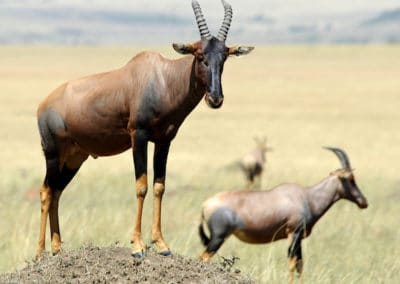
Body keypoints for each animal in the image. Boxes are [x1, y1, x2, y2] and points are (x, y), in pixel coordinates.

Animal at [35, 0, 253, 258]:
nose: (215, 99)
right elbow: (141, 186)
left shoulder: (164, 140)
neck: (162, 78)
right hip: (52, 153)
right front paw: (138, 246)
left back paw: (57, 248)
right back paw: (39, 253)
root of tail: (44, 104)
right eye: (200, 55)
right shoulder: (138, 136)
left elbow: (159, 186)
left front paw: (162, 244)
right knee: (46, 192)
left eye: (225, 56)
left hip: (74, 158)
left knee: (57, 192)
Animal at [198, 148, 368, 282]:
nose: (363, 202)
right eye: (350, 179)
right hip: (219, 236)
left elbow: (300, 264)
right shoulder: (294, 233)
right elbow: (292, 263)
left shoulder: (299, 237)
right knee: (204, 257)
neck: (307, 197)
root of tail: (205, 204)